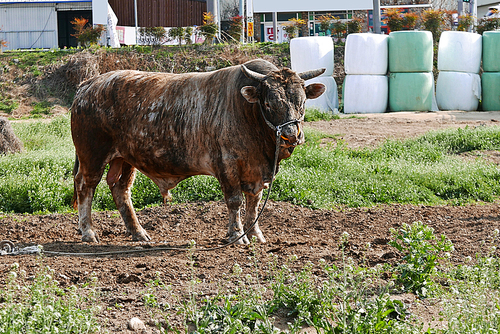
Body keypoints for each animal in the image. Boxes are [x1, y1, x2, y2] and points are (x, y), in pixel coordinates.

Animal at [72, 59, 326, 243]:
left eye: (302, 101)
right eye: (268, 103)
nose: (291, 135)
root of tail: (89, 84)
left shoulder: (258, 173)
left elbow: (254, 203)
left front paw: (255, 234)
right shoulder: (227, 165)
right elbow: (235, 201)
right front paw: (237, 235)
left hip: (125, 159)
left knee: (121, 190)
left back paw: (138, 232)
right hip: (92, 156)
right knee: (86, 186)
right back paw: (88, 232)